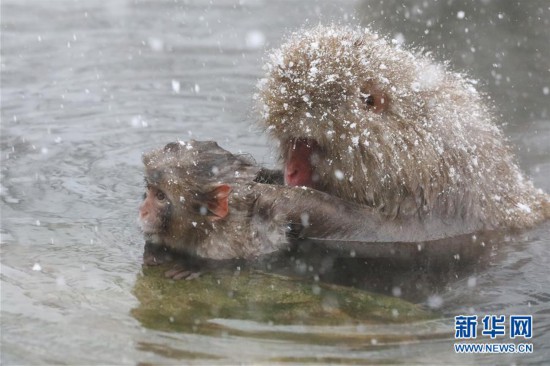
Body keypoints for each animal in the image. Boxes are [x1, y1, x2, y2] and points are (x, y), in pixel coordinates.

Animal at [256, 25, 548, 233]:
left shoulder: (441, 196)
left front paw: (287, 200)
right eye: (291, 142)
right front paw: (265, 176)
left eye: (310, 143)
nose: (291, 171)